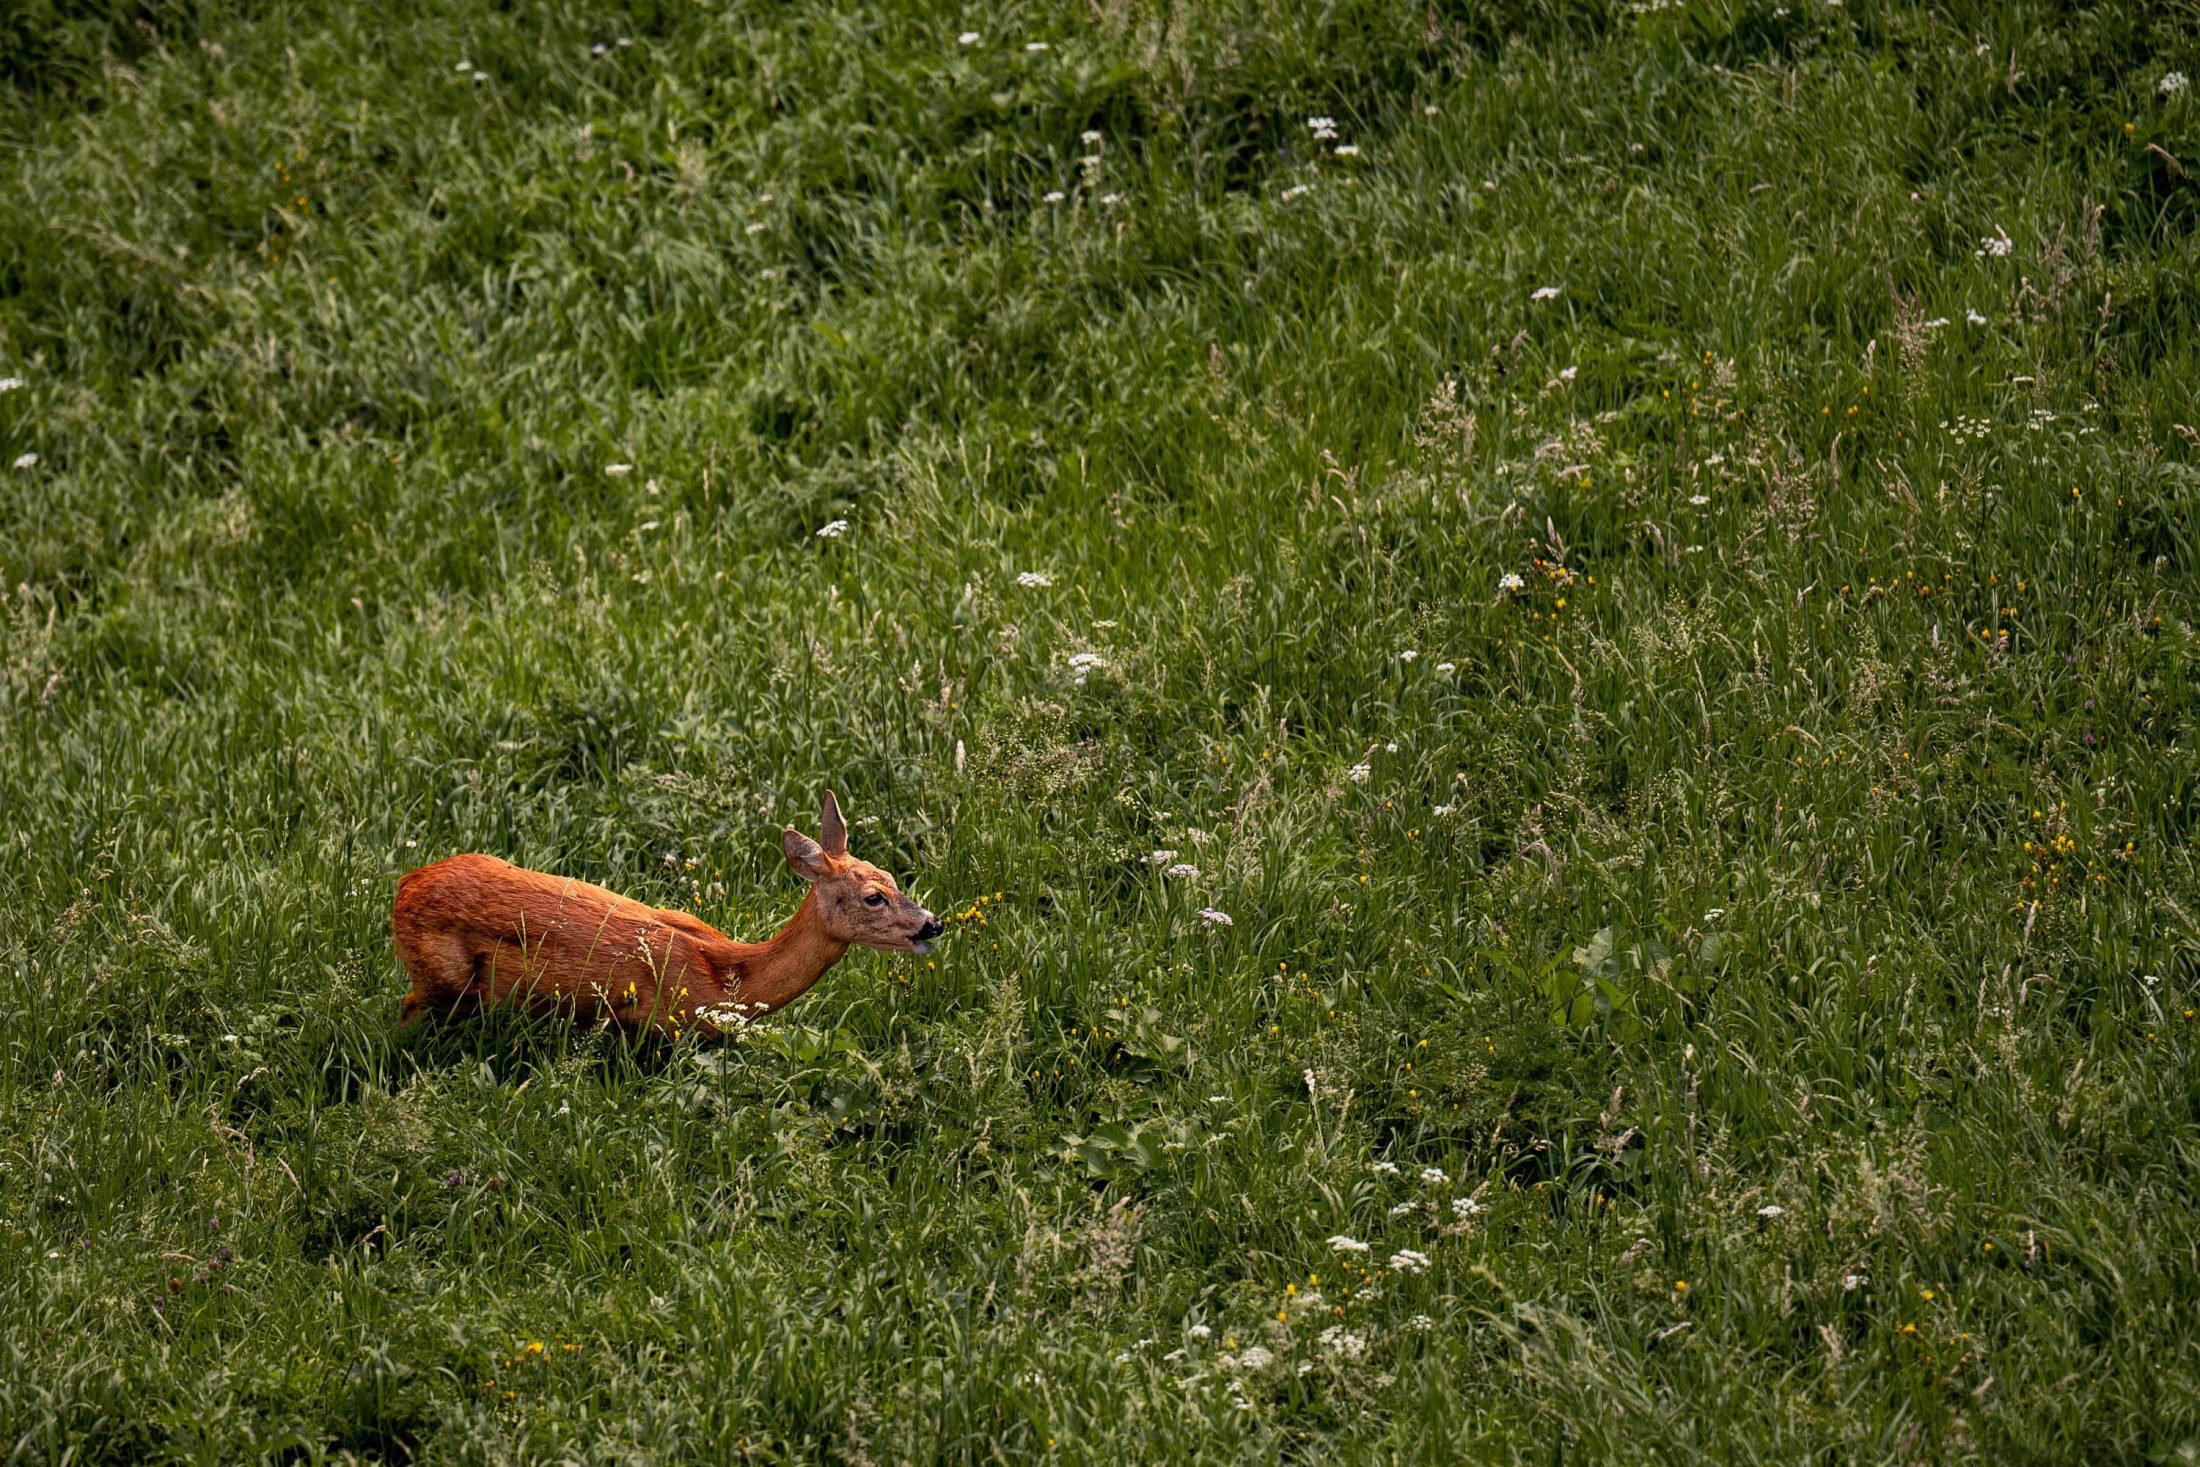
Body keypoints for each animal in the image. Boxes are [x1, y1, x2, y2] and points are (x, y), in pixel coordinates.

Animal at [389, 791, 937, 1033]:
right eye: (874, 896)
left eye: (892, 876)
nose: (932, 923)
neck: (726, 976)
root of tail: (403, 886)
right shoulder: (661, 1022)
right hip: (442, 978)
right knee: (408, 1006)